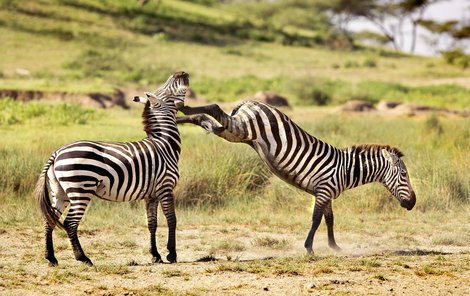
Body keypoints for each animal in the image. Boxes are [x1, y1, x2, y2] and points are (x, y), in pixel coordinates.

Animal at [35, 71, 189, 266]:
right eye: (166, 90)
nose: (182, 73)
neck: (165, 145)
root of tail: (56, 153)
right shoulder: (166, 187)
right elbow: (171, 219)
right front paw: (172, 254)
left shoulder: (151, 195)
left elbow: (151, 223)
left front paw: (155, 255)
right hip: (80, 190)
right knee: (70, 223)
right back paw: (83, 258)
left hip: (59, 191)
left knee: (49, 220)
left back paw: (51, 258)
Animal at [175, 100, 414, 253]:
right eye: (404, 174)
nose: (412, 203)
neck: (346, 169)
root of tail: (251, 102)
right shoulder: (324, 191)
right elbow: (316, 219)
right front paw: (309, 248)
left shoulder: (326, 193)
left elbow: (329, 219)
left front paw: (334, 247)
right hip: (242, 127)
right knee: (214, 108)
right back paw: (180, 108)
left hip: (234, 132)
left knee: (204, 118)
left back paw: (179, 114)